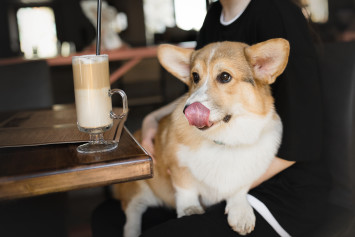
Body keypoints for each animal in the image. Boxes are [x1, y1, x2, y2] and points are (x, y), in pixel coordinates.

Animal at [112, 38, 290, 236]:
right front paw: (189, 209)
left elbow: (239, 189)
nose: (187, 110)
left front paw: (241, 212)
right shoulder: (178, 167)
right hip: (139, 189)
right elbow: (186, 188)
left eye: (225, 77)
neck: (224, 139)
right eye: (195, 76)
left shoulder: (247, 175)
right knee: (132, 212)